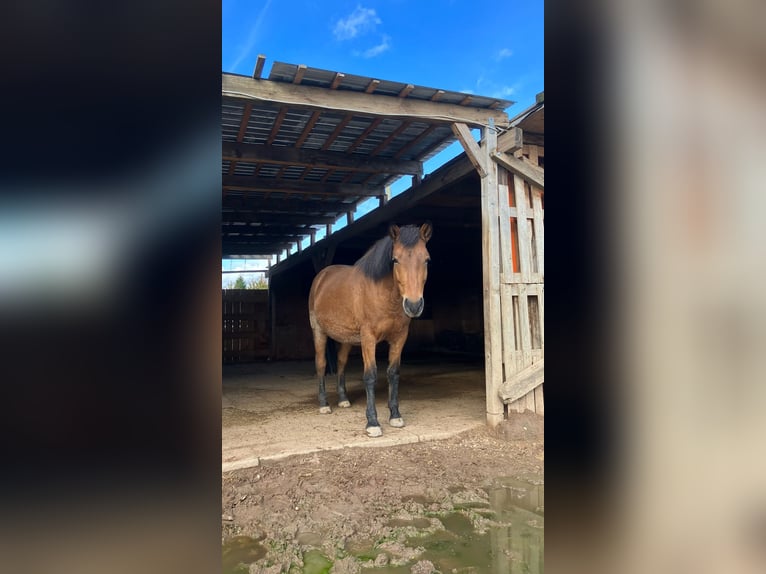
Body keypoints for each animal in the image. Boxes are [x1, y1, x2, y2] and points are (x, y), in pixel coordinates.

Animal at [308, 223, 432, 437]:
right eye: (395, 259)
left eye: (426, 259)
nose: (414, 305)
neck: (383, 294)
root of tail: (321, 277)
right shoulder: (368, 338)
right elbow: (370, 376)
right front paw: (373, 423)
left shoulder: (400, 337)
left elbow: (393, 373)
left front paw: (395, 415)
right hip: (319, 332)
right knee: (321, 364)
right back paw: (324, 404)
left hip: (347, 338)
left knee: (341, 363)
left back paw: (343, 399)